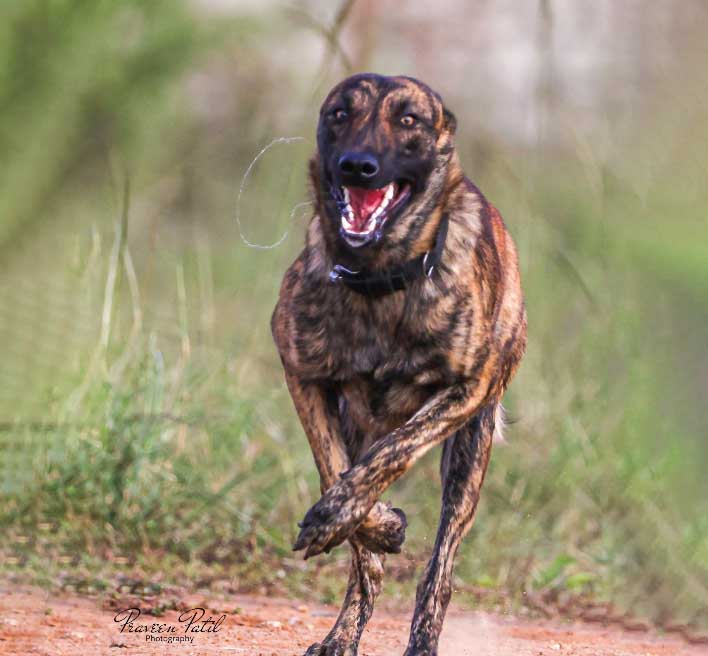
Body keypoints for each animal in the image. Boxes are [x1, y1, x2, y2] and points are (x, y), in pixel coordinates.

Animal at [272, 73, 524, 656]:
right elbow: (334, 469)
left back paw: (423, 638)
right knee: (367, 569)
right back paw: (343, 632)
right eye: (340, 114)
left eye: (408, 119)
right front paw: (376, 523)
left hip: (469, 458)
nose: (358, 166)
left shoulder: (465, 390)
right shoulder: (302, 373)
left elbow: (393, 453)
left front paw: (349, 513)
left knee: (440, 569)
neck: (378, 279)